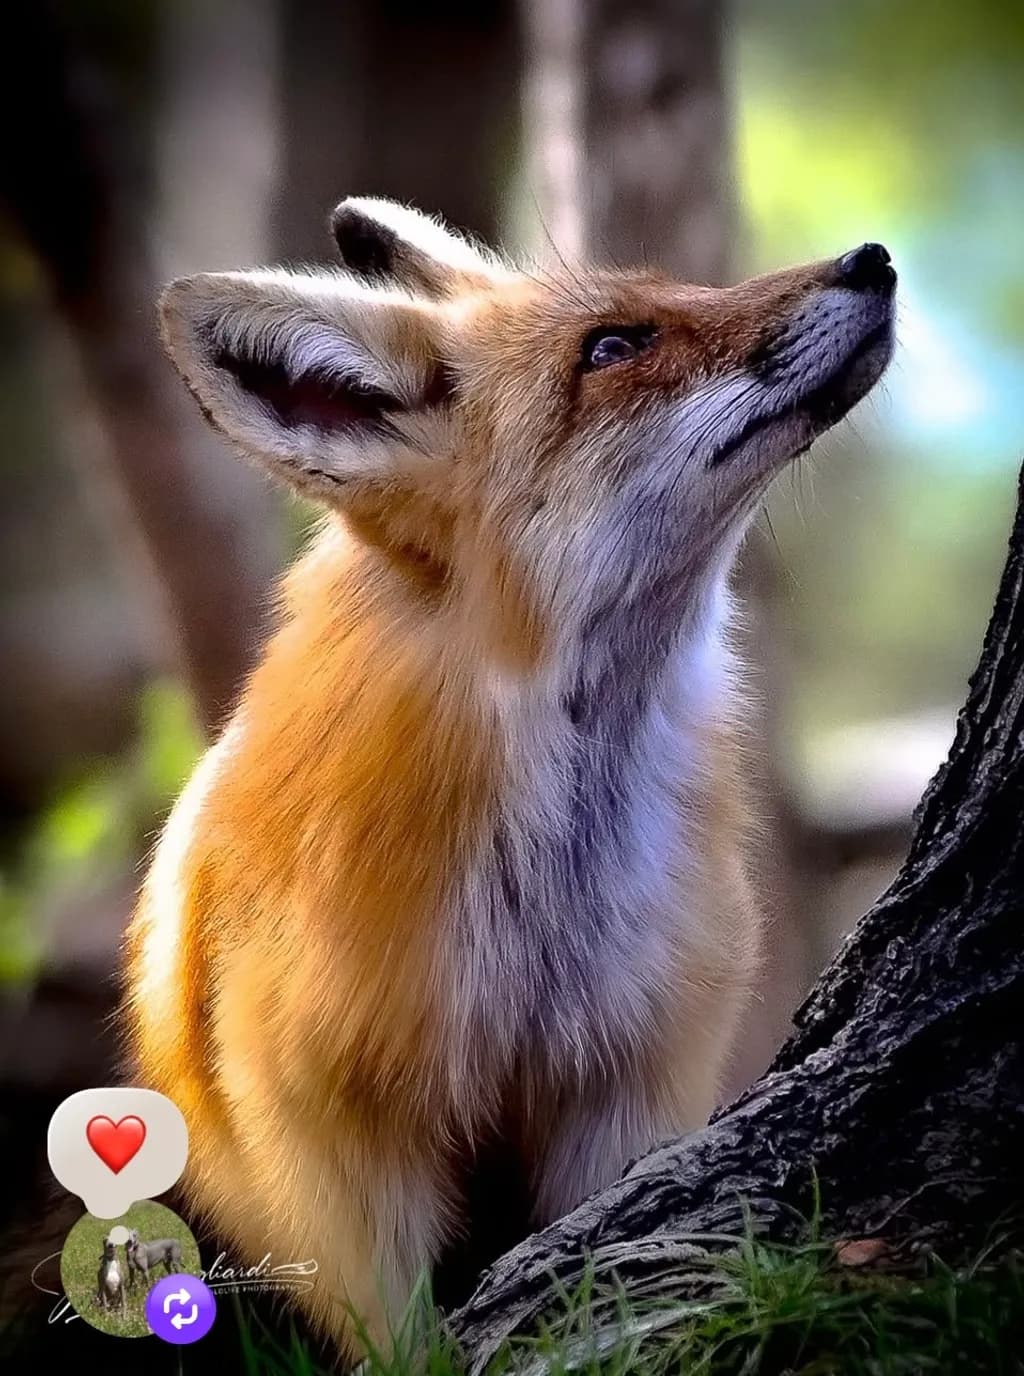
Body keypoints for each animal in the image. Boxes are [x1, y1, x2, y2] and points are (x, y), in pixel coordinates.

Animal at [124, 197, 895, 1355]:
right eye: (613, 348)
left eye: (677, 290)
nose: (873, 260)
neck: (541, 909)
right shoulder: (329, 1141)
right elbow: (403, 1344)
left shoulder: (624, 1082)